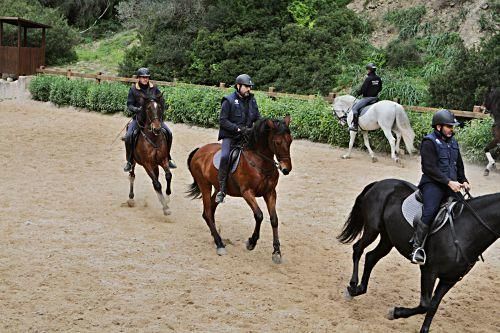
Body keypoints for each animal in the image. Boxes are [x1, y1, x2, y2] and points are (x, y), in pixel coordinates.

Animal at [188, 115, 292, 264]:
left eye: (290, 140)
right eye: (277, 142)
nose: (286, 169)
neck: (260, 162)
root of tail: (199, 150)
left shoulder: (270, 193)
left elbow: (274, 219)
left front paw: (277, 252)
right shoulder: (247, 192)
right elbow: (259, 215)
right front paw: (251, 242)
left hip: (218, 188)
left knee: (209, 212)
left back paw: (216, 238)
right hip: (204, 185)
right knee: (207, 212)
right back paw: (219, 244)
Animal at [338, 179, 498, 332]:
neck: (464, 228)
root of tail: (380, 183)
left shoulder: (449, 279)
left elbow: (433, 306)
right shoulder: (429, 271)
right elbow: (425, 305)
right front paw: (394, 312)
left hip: (388, 239)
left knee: (371, 257)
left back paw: (359, 289)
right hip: (372, 229)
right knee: (358, 249)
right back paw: (353, 285)